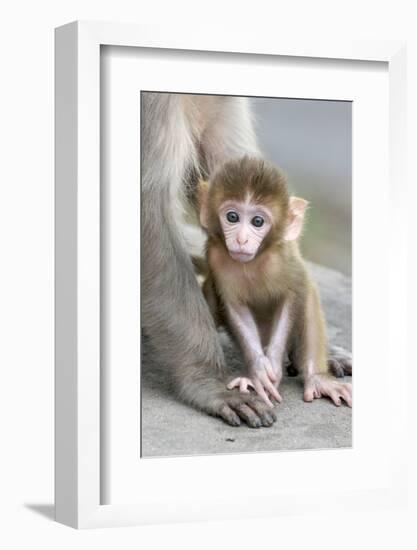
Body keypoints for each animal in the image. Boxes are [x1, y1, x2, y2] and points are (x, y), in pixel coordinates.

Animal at [197, 157, 352, 412]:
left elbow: (294, 295)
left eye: (258, 221)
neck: (254, 261)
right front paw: (259, 371)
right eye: (232, 217)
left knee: (308, 295)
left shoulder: (284, 259)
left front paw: (273, 364)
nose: (241, 239)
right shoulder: (217, 258)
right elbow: (234, 306)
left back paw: (317, 377)